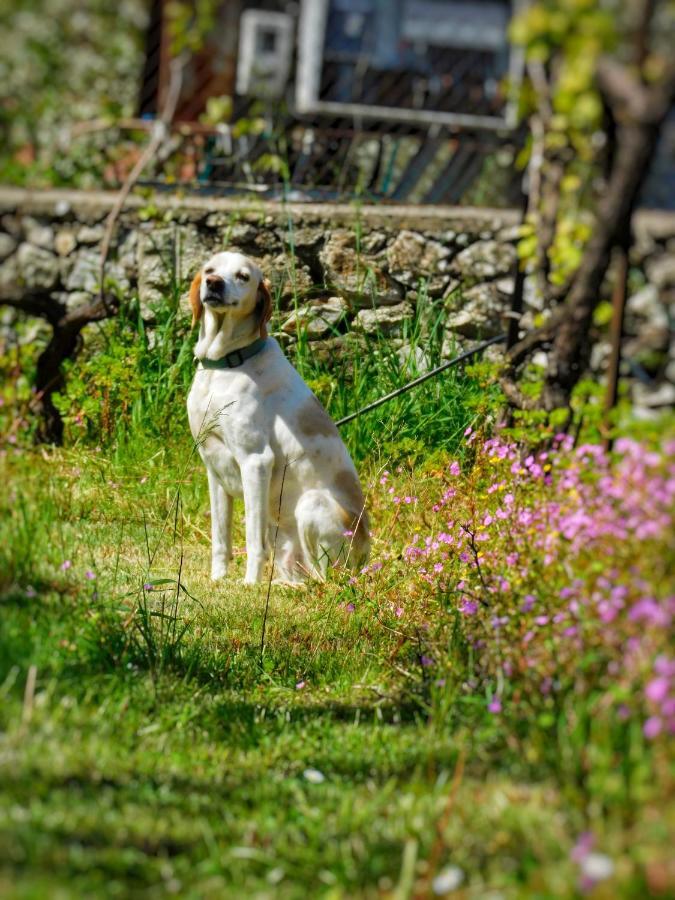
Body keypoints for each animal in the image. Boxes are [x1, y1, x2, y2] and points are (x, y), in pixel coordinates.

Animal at [186, 250, 370, 584]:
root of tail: (367, 558)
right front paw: (218, 580)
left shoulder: (256, 461)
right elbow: (220, 539)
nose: (214, 283)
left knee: (326, 581)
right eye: (209, 269)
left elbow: (251, 539)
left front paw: (249, 584)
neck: (226, 365)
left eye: (243, 276)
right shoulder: (213, 468)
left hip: (311, 505)